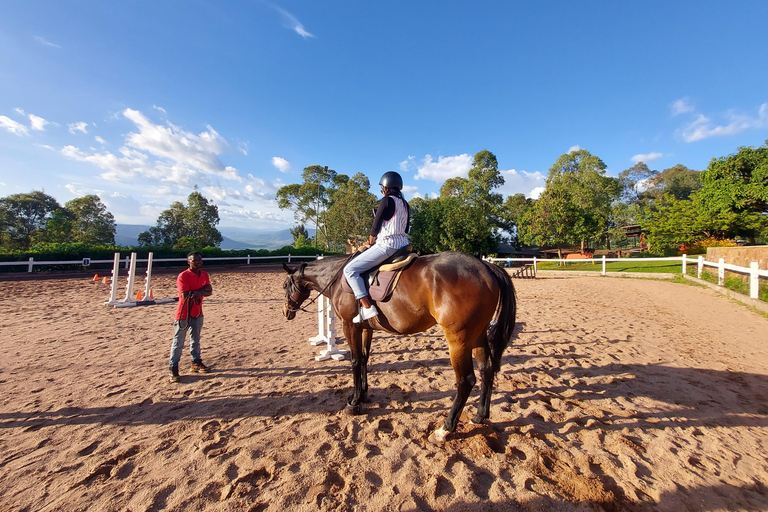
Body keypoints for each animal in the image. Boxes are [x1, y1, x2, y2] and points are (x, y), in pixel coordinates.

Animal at [282, 250, 516, 442]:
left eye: (285, 285)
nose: (286, 312)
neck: (339, 278)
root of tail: (485, 267)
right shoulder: (365, 328)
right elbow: (364, 358)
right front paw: (362, 394)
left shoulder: (350, 326)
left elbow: (355, 361)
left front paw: (354, 402)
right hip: (477, 336)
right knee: (487, 369)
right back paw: (479, 416)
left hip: (459, 340)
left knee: (466, 380)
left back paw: (445, 429)